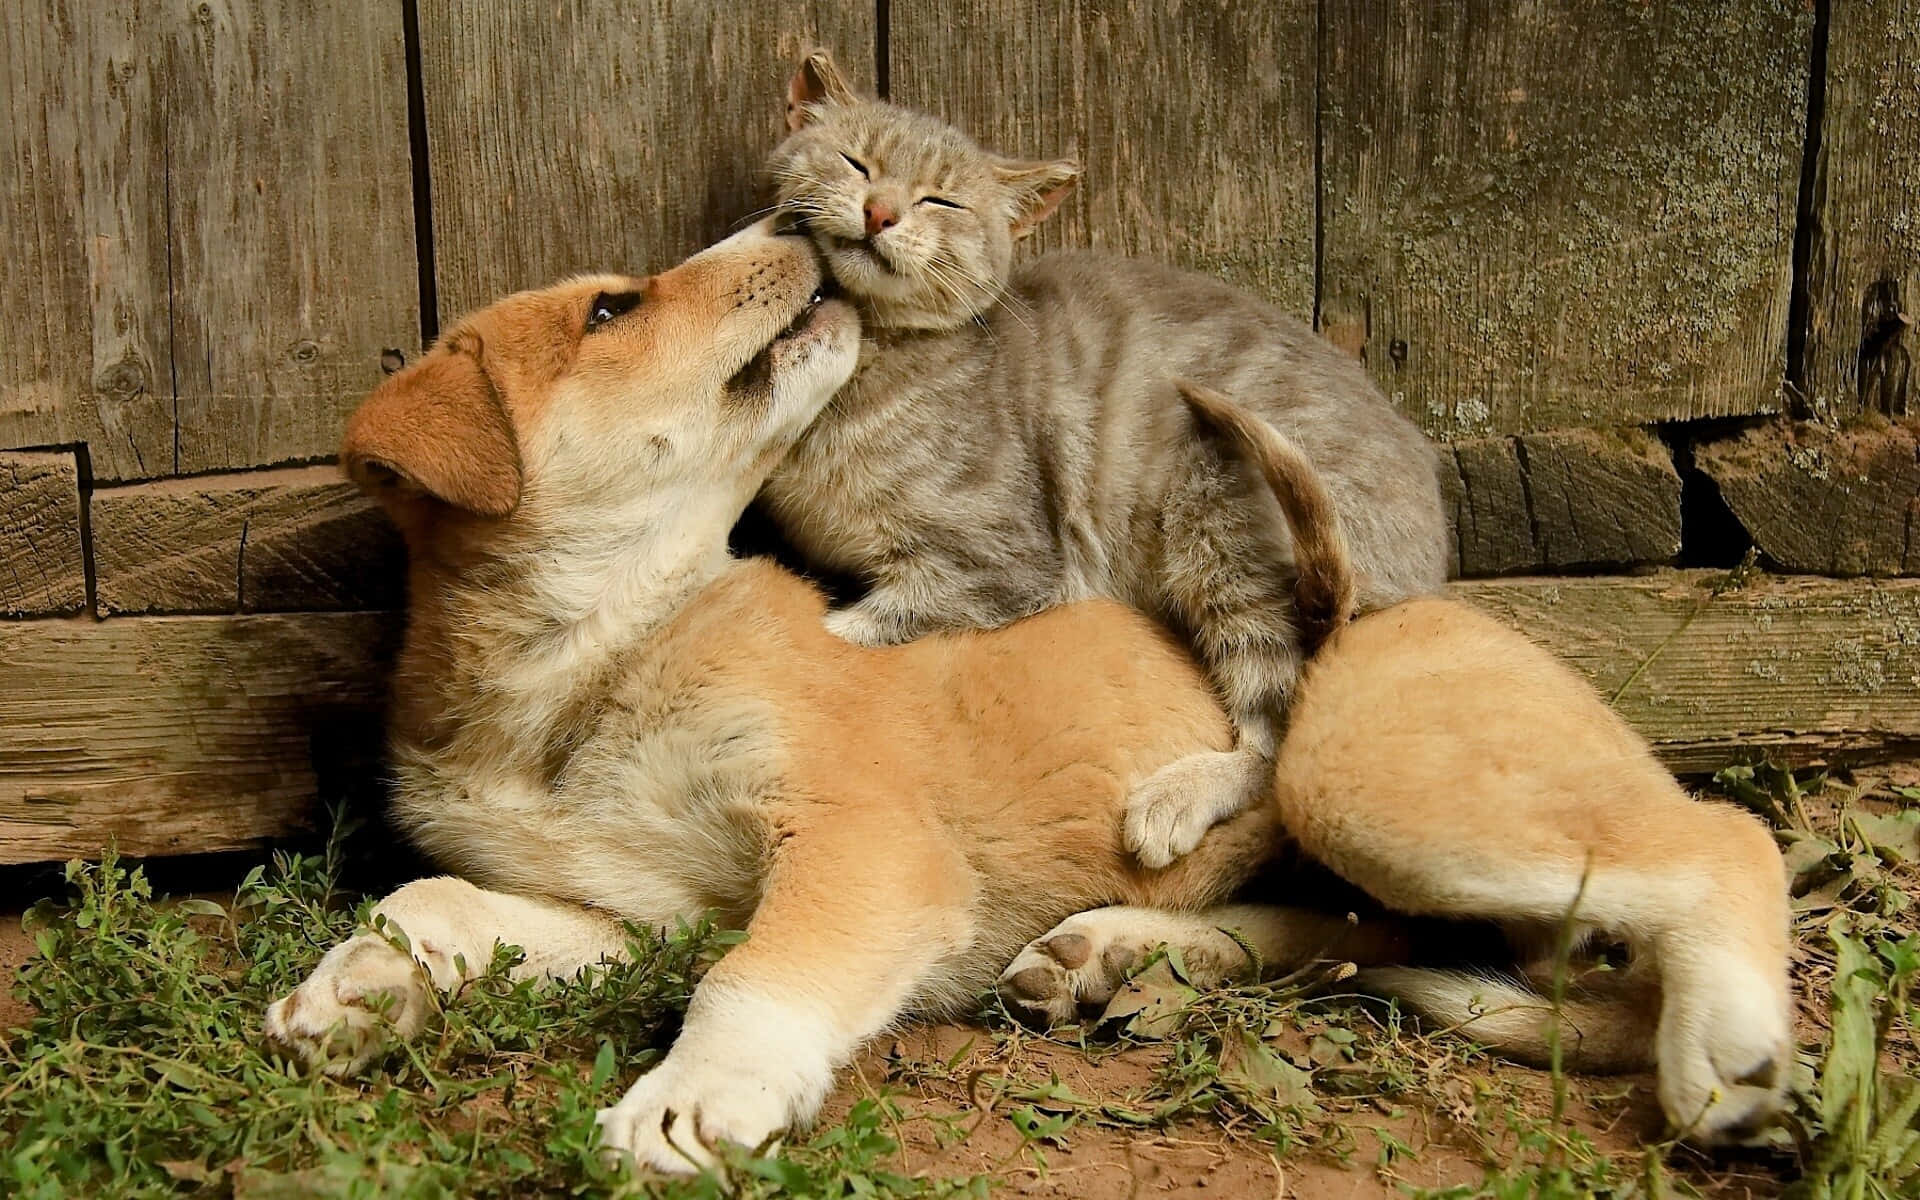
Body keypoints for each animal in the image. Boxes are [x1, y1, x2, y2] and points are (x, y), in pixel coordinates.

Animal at [270, 219, 1797, 1167]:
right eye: (612, 308)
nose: (796, 229)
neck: (584, 665)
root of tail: (1404, 602)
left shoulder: (858, 850)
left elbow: (754, 983)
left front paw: (696, 1101)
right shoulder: (634, 905)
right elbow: (440, 900)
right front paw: (356, 991)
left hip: (1364, 782)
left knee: (1724, 841)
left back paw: (1730, 1061)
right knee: (1338, 933)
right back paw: (1113, 953)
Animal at [756, 56, 1443, 864]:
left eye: (941, 199)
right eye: (855, 160)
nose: (881, 212)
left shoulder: (1003, 563)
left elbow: (862, 624)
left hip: (1225, 530)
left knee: (1279, 733)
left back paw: (1179, 796)